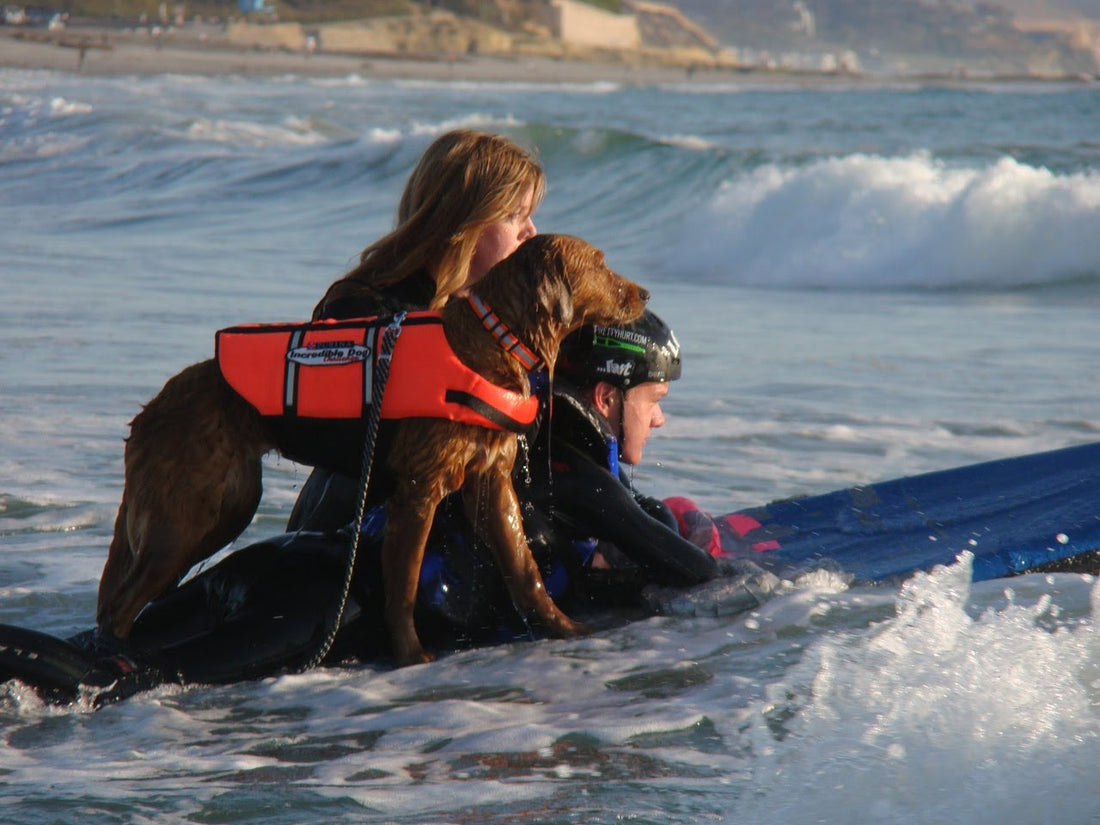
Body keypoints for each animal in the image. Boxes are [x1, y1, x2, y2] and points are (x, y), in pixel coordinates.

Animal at [99, 234, 646, 664]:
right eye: (600, 263)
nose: (644, 291)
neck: (496, 340)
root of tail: (150, 410)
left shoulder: (491, 481)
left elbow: (524, 568)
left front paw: (563, 628)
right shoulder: (420, 487)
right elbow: (402, 584)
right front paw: (411, 656)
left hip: (222, 506)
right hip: (192, 513)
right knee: (119, 610)